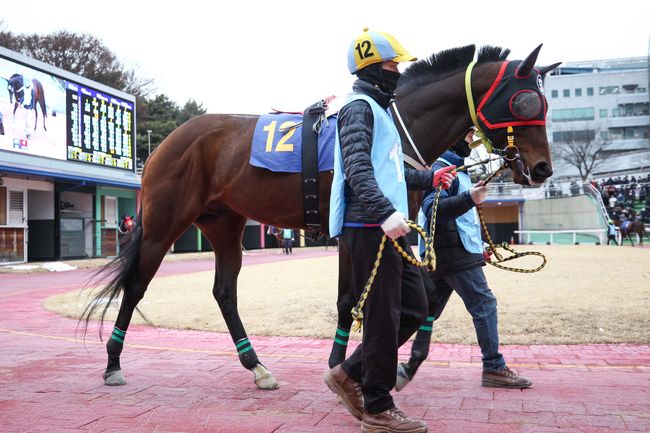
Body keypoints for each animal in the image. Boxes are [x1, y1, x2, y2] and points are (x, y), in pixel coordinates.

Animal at [81, 44, 556, 388]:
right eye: (525, 101)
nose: (541, 169)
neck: (394, 123)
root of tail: (167, 142)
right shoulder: (354, 227)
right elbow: (352, 299)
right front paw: (343, 364)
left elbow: (419, 294)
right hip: (164, 224)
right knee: (136, 286)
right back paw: (112, 363)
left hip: (224, 224)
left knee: (224, 293)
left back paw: (256, 366)